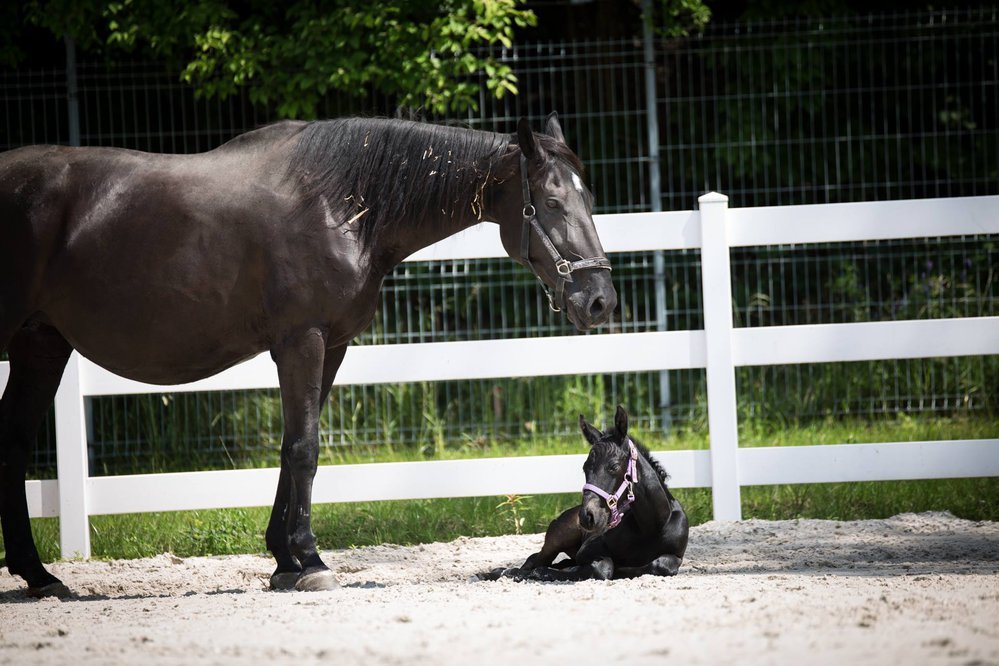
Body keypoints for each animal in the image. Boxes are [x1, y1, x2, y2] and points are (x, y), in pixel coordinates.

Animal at [0, 111, 616, 592]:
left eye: (589, 198)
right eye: (552, 202)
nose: (600, 300)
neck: (337, 204)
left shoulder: (331, 345)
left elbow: (292, 446)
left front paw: (284, 561)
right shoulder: (302, 340)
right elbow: (304, 449)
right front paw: (311, 560)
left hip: (40, 345)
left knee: (14, 446)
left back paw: (40, 577)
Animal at [488, 402, 692, 580]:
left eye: (614, 466)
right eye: (585, 468)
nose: (587, 516)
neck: (652, 526)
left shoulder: (675, 556)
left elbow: (660, 565)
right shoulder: (587, 550)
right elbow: (605, 567)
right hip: (558, 538)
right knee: (535, 560)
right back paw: (502, 572)